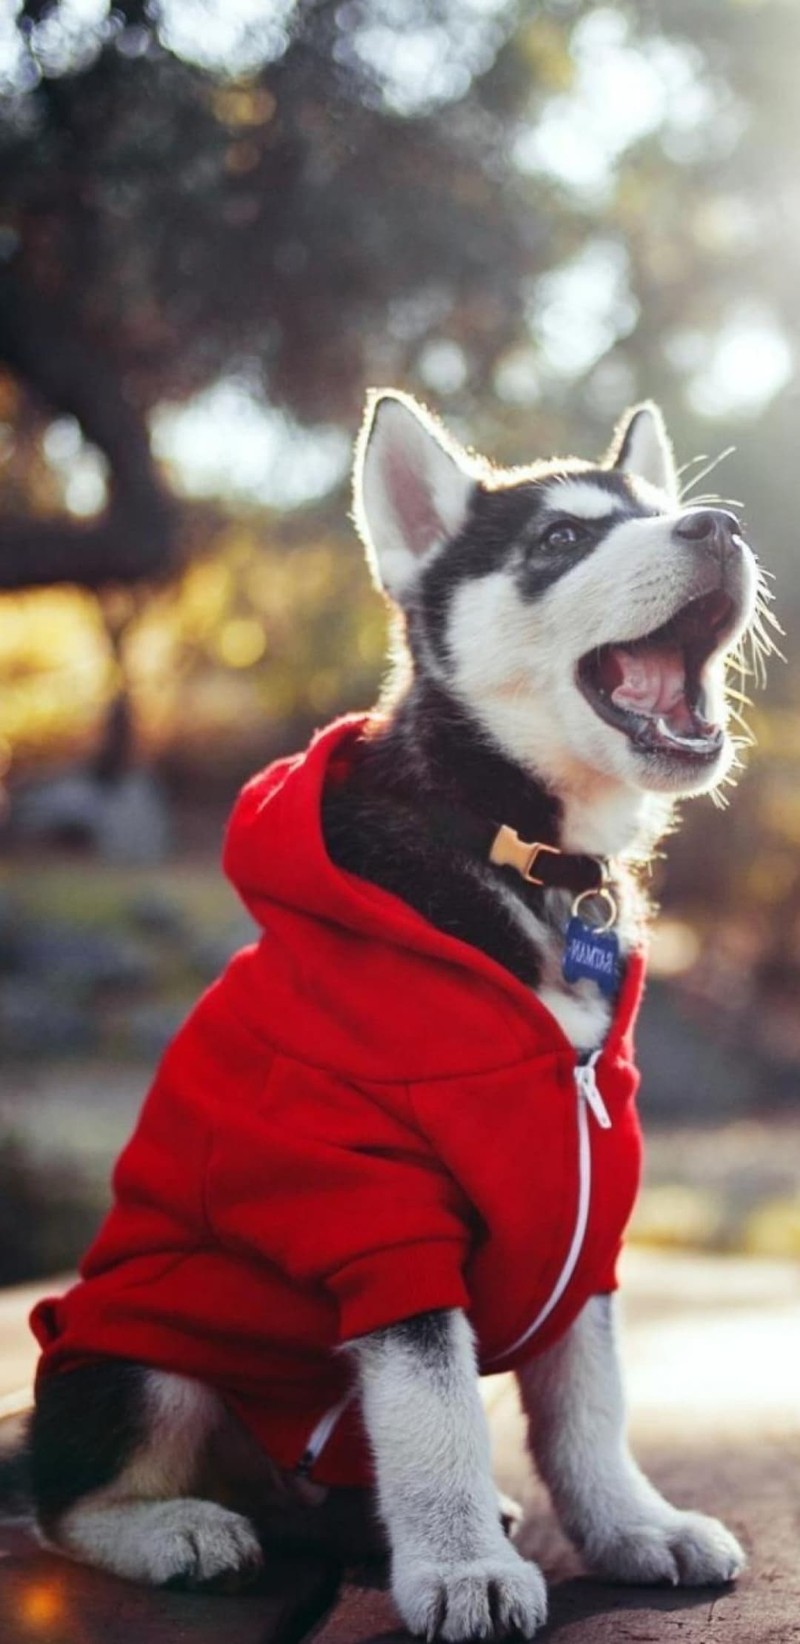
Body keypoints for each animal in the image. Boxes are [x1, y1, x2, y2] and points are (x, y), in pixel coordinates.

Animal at [18, 391, 762, 1637]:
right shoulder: (372, 1204)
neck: (523, 858)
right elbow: (433, 1407)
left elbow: (588, 1402)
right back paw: (176, 1527)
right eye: (559, 539)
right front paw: (460, 1567)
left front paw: (628, 1524)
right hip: (139, 1359)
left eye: (656, 510)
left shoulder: (587, 1208)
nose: (720, 525)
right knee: (59, 1499)